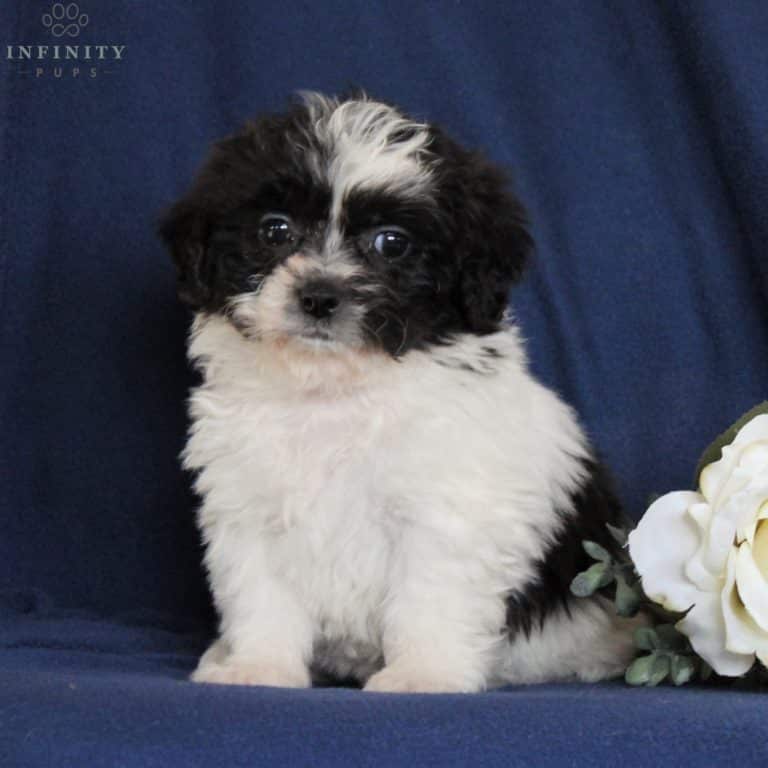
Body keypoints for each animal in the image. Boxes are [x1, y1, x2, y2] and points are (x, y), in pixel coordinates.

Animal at [159, 93, 632, 692]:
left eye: (391, 243)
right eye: (274, 231)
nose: (319, 296)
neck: (334, 391)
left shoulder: (442, 512)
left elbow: (428, 597)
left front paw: (422, 673)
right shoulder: (248, 507)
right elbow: (261, 595)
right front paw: (259, 665)